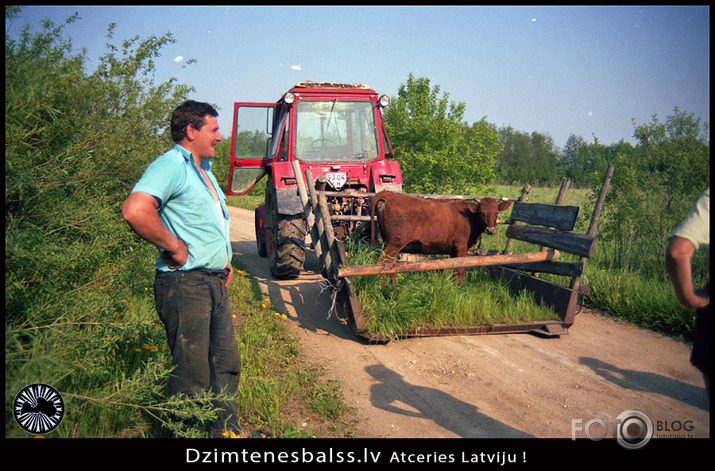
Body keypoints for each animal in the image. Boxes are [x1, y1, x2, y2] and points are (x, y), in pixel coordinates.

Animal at [370, 191, 516, 288]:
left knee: (391, 262)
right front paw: (461, 288)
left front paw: (454, 287)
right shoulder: (461, 246)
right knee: (383, 261)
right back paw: (384, 289)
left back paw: (392, 288)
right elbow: (461, 269)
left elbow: (454, 268)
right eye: (481, 213)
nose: (490, 230)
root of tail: (389, 194)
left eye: (496, 213)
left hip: (392, 242)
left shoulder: (453, 249)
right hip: (395, 242)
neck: (470, 218)